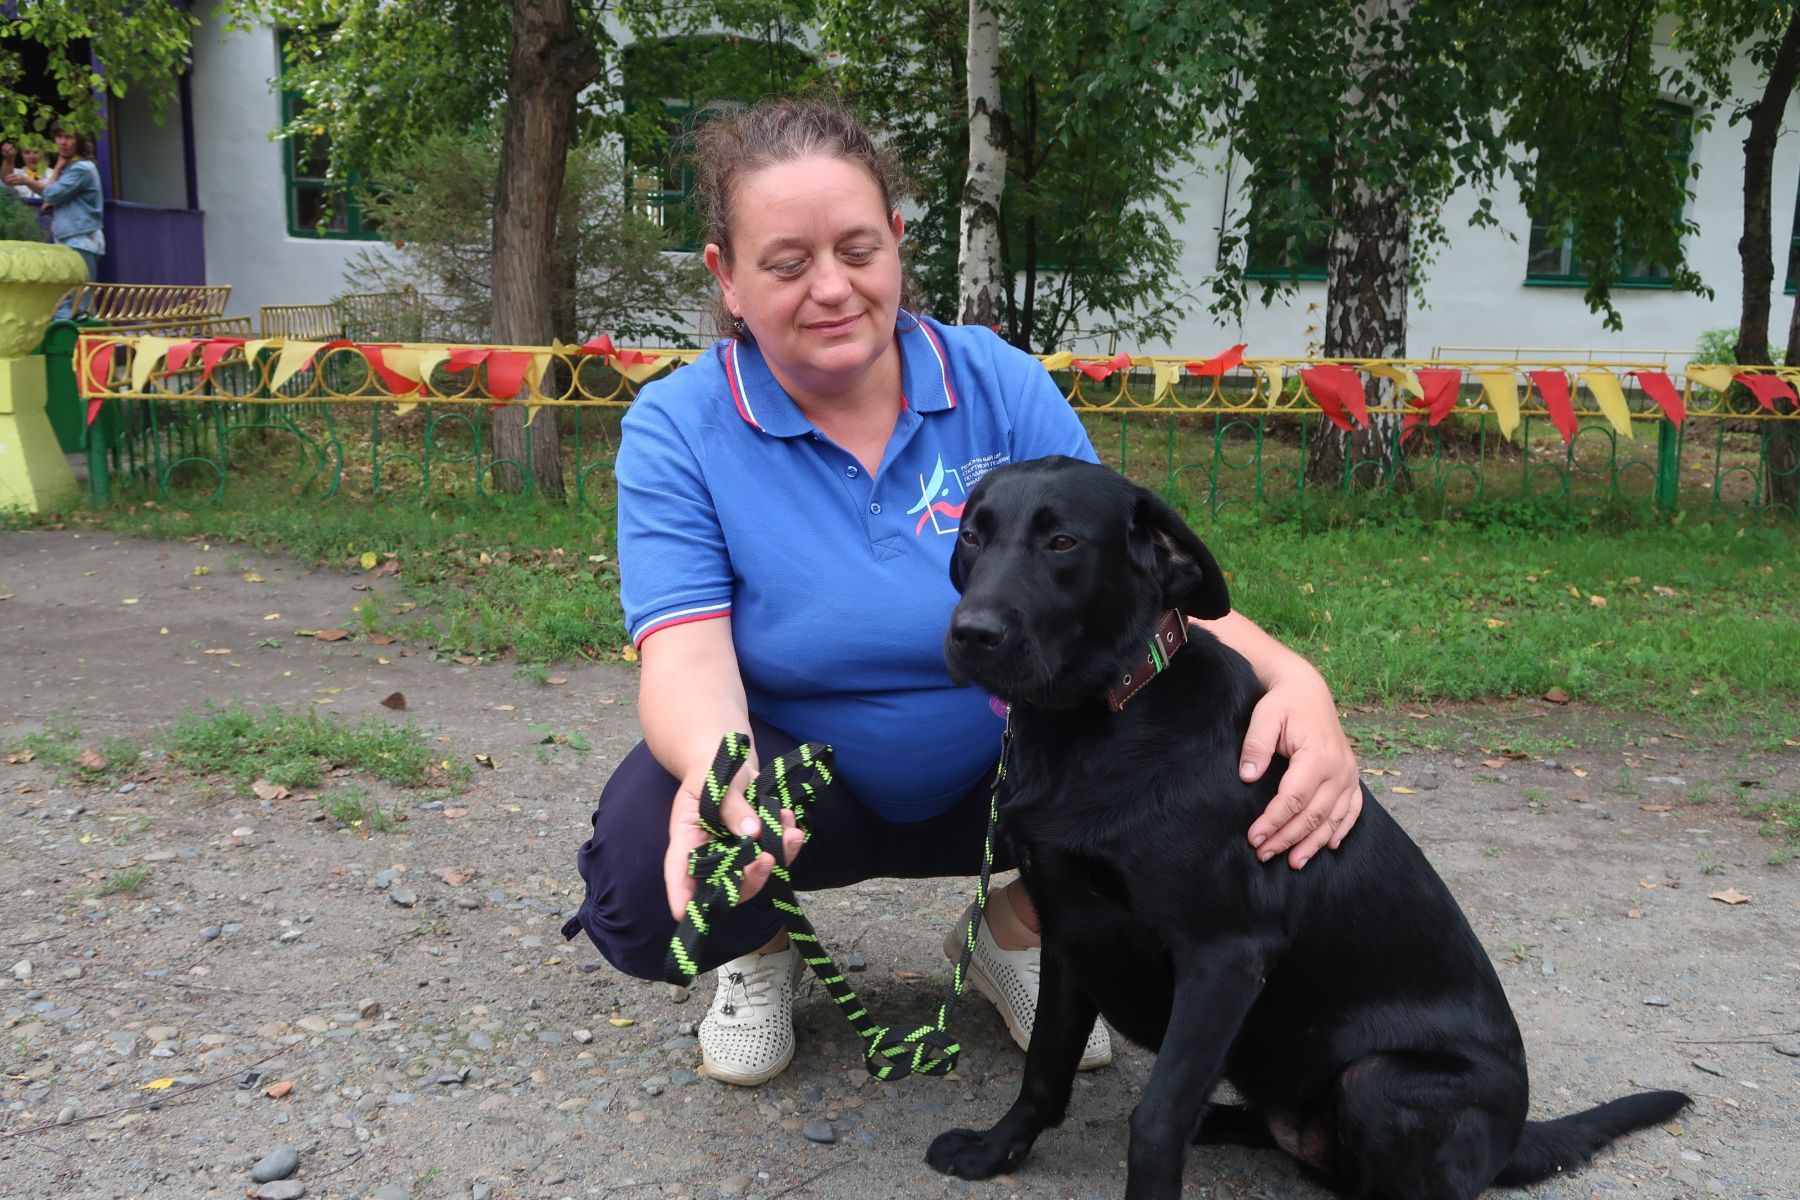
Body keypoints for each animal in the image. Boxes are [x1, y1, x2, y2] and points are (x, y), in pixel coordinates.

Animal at [936, 455, 1677, 1194]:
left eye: (1062, 543)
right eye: (972, 536)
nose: (971, 633)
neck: (1098, 720)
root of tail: (1513, 1138)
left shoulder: (1225, 954)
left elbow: (1157, 1117)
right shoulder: (1069, 931)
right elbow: (1044, 1072)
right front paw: (995, 1150)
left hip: (1378, 1080)